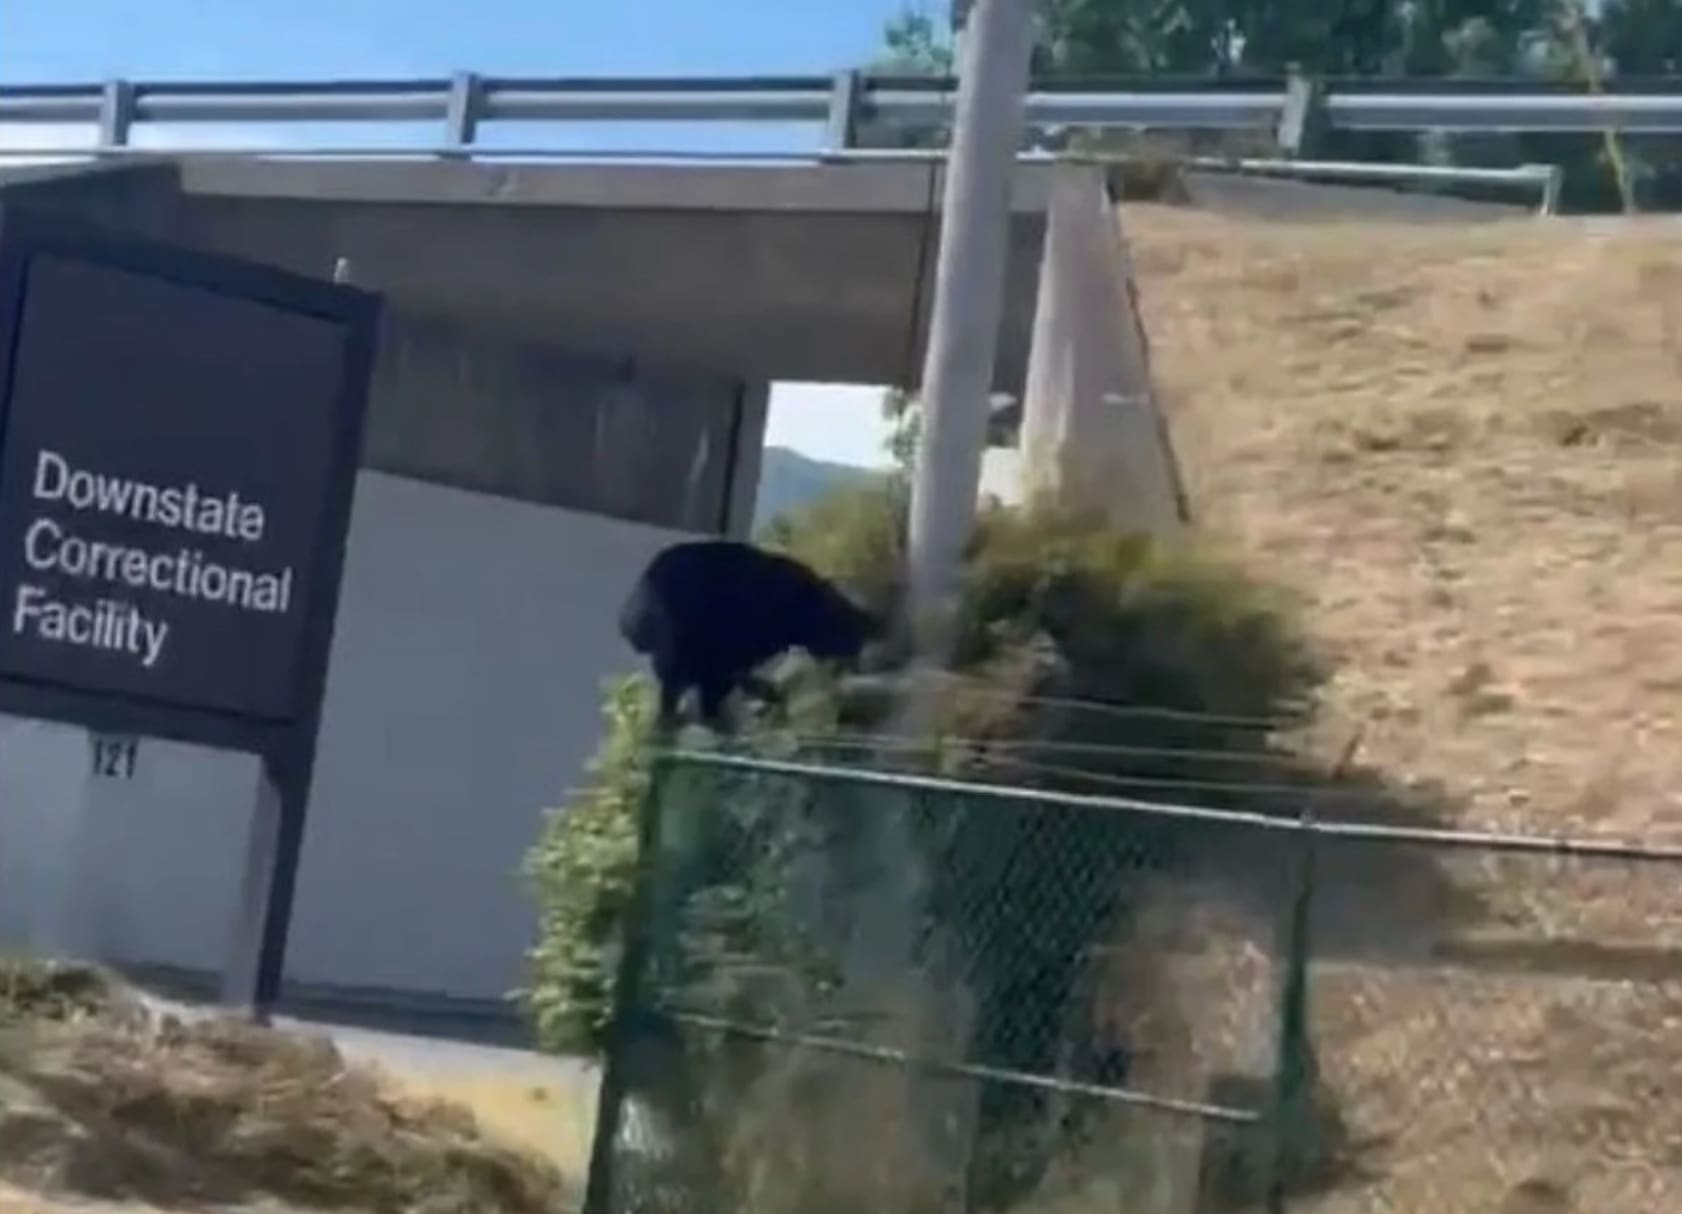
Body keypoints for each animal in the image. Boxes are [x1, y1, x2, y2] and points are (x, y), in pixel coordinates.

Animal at [618, 541, 881, 729]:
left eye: (855, 640)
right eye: (848, 636)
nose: (854, 659)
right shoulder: (722, 653)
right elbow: (715, 686)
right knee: (677, 684)